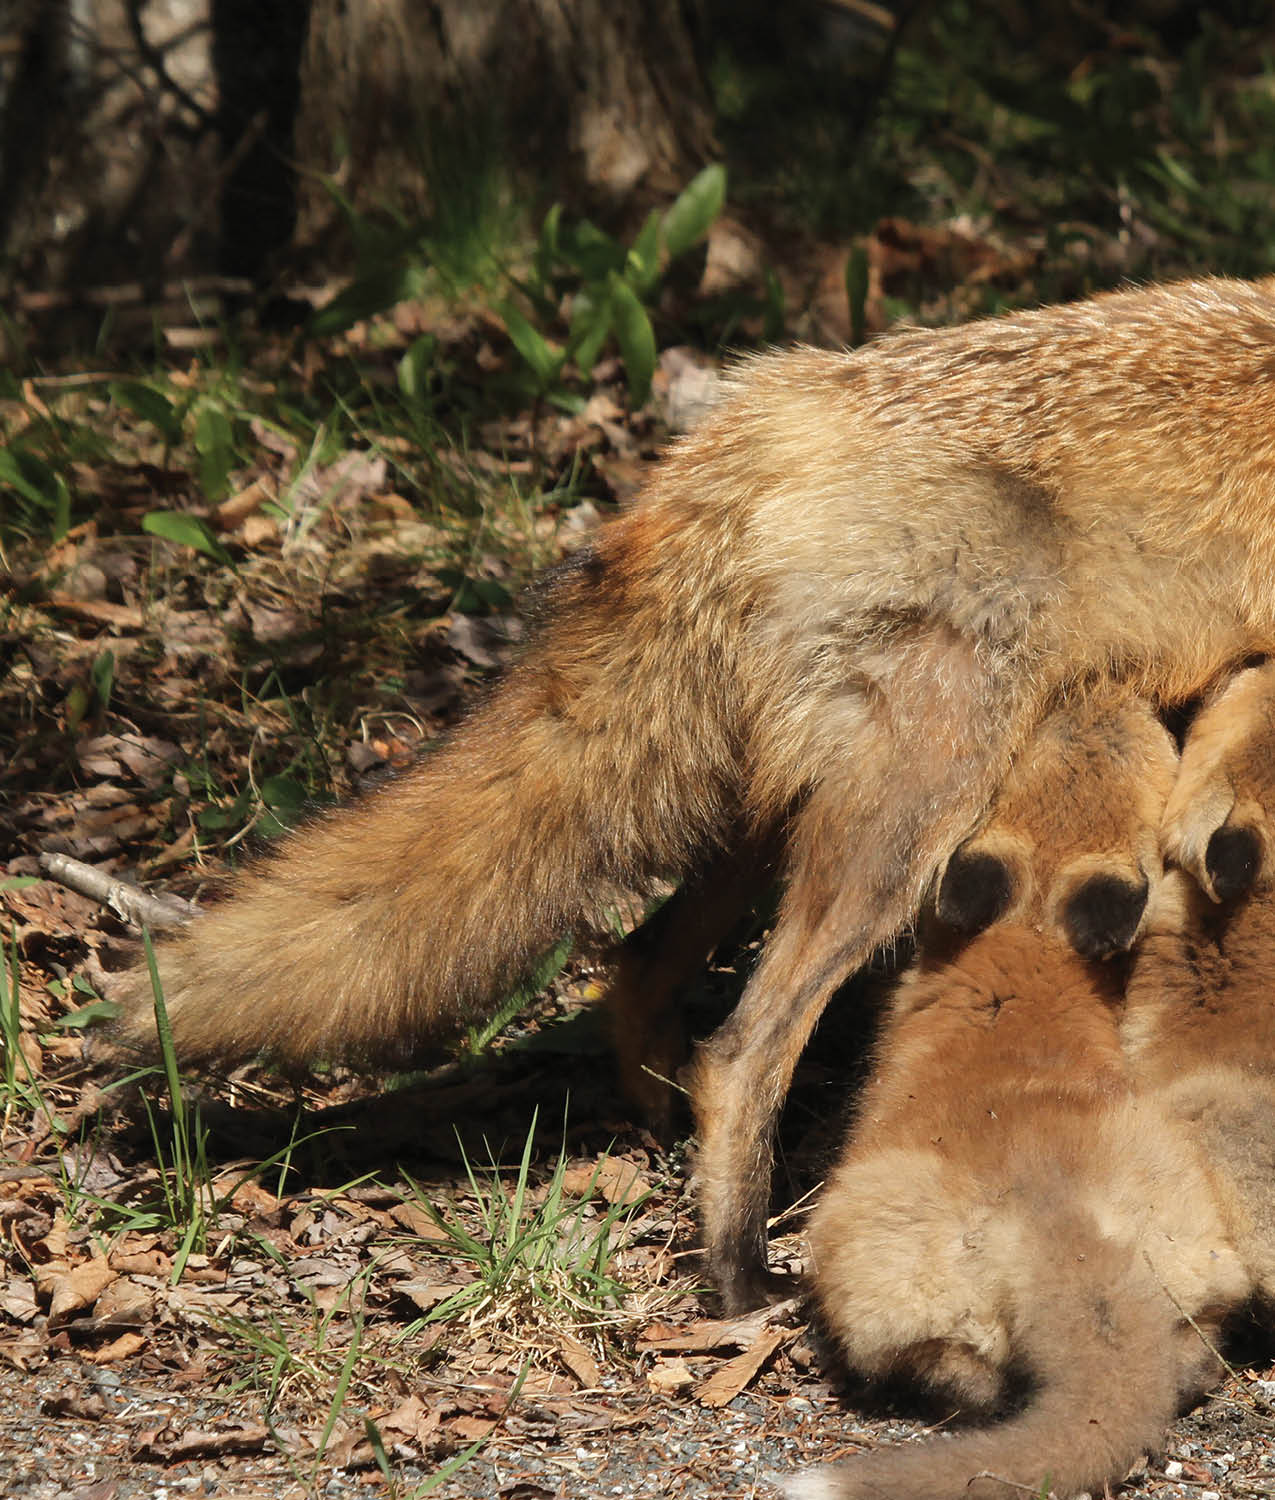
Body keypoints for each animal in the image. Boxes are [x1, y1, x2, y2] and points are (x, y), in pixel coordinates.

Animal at [786, 690, 1254, 1500]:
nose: (1098, 689)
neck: (1027, 947)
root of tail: (1063, 1226)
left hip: (862, 1262)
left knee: (954, 1373)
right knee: (1193, 1355)